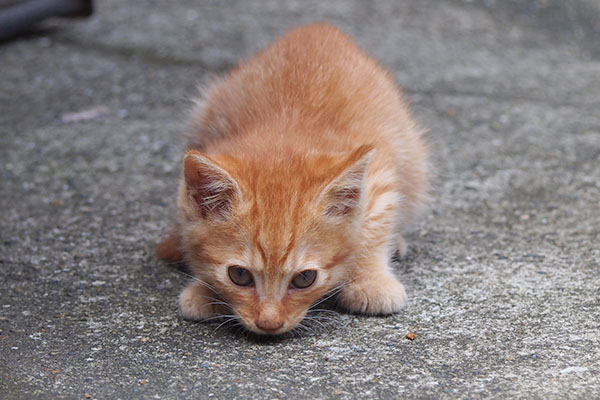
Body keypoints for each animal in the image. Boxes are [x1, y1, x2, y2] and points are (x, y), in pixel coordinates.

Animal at [157, 23, 428, 336]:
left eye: (304, 279)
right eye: (239, 275)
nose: (269, 323)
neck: (286, 135)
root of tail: (318, 28)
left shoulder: (380, 173)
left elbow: (373, 227)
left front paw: (369, 280)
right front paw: (205, 290)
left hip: (413, 159)